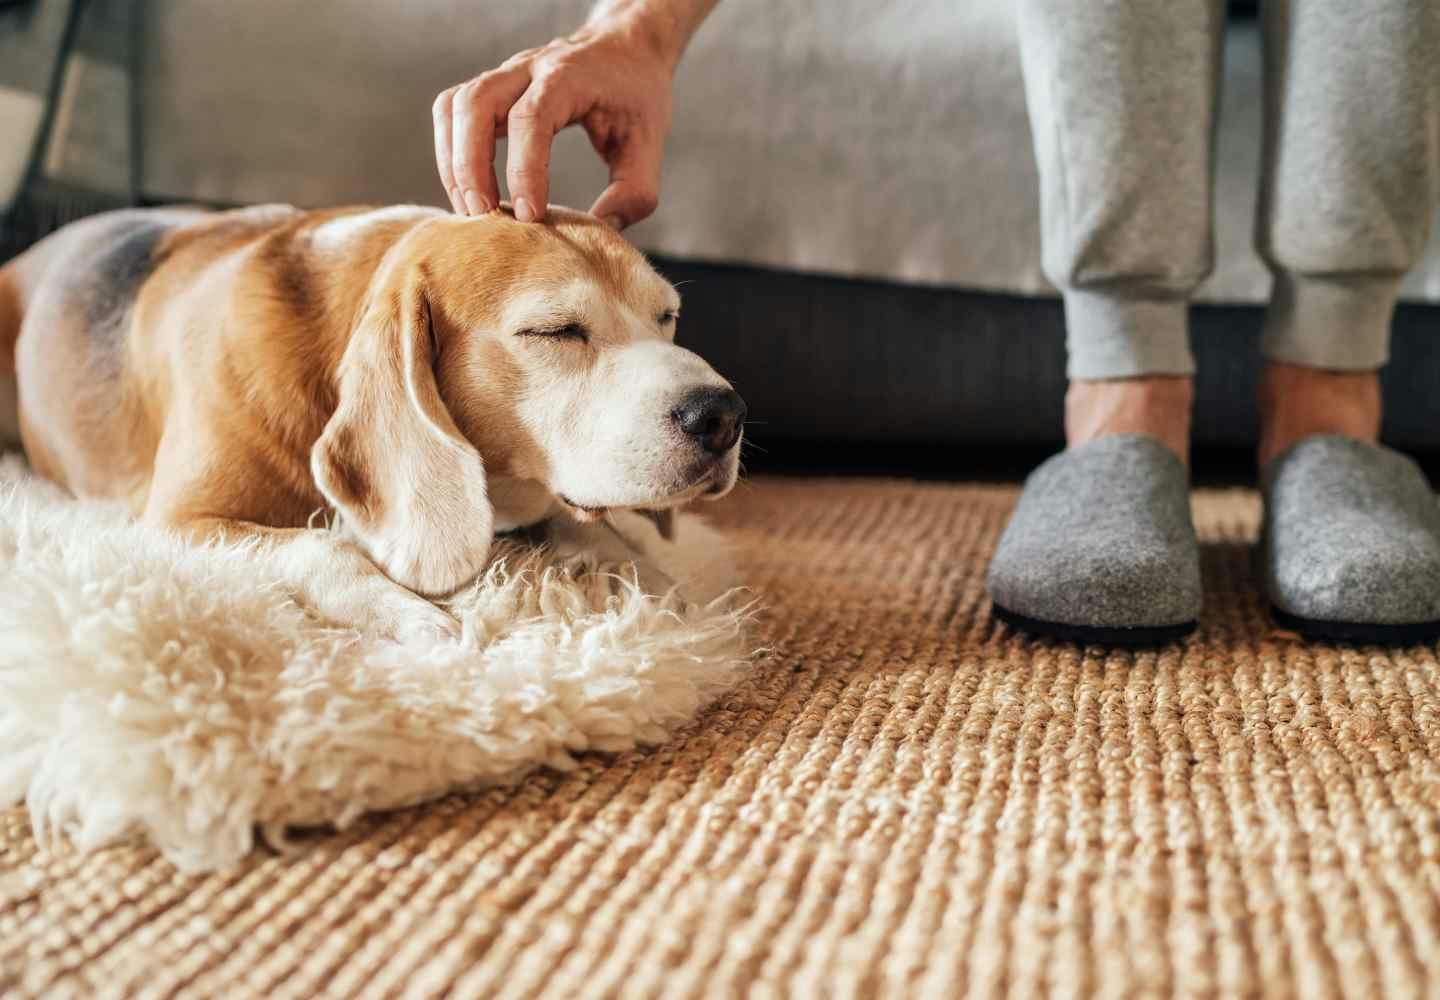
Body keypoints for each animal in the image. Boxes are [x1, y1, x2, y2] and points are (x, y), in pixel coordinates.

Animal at [0, 206, 743, 639]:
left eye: (666, 317)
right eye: (555, 331)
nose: (723, 415)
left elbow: (593, 532)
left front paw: (652, 581)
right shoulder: (177, 522)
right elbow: (319, 546)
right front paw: (409, 614)